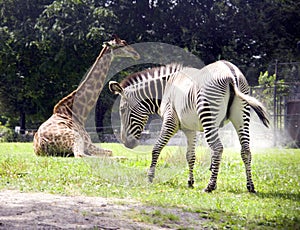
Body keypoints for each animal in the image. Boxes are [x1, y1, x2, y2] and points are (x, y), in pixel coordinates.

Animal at [109, 60, 270, 192]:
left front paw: (150, 177)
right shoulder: (190, 129)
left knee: (218, 148)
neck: (166, 88)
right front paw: (190, 182)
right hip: (241, 117)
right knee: (246, 150)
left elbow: (156, 148)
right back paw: (250, 186)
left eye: (122, 110)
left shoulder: (170, 122)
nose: (126, 143)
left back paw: (210, 186)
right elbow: (190, 156)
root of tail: (230, 72)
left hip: (209, 116)